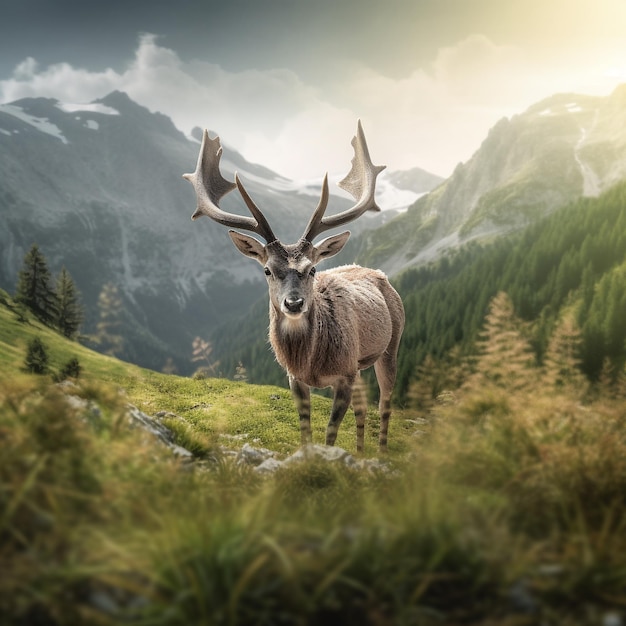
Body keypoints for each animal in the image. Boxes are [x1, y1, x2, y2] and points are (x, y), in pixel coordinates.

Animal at [183, 119, 402, 450]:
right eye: (267, 270)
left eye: (312, 269)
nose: (294, 303)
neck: (311, 363)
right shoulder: (294, 378)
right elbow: (305, 430)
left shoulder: (345, 373)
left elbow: (330, 432)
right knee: (364, 408)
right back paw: (361, 453)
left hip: (392, 344)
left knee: (385, 402)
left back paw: (380, 452)